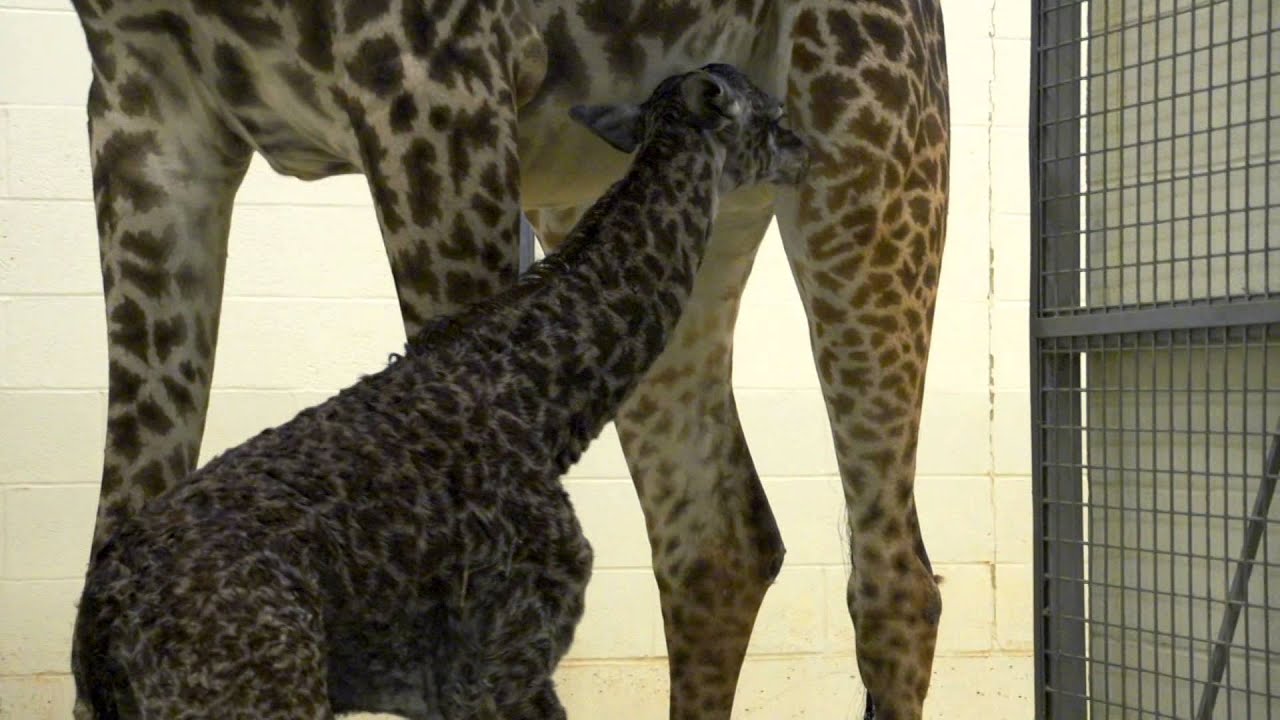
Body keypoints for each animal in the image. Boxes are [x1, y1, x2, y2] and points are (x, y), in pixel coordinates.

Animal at [70, 1, 949, 718]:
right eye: (768, 119)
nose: (802, 143)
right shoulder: (140, 104)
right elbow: (119, 493)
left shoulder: (434, 76)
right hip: (608, 196)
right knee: (717, 546)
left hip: (879, 138)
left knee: (894, 580)